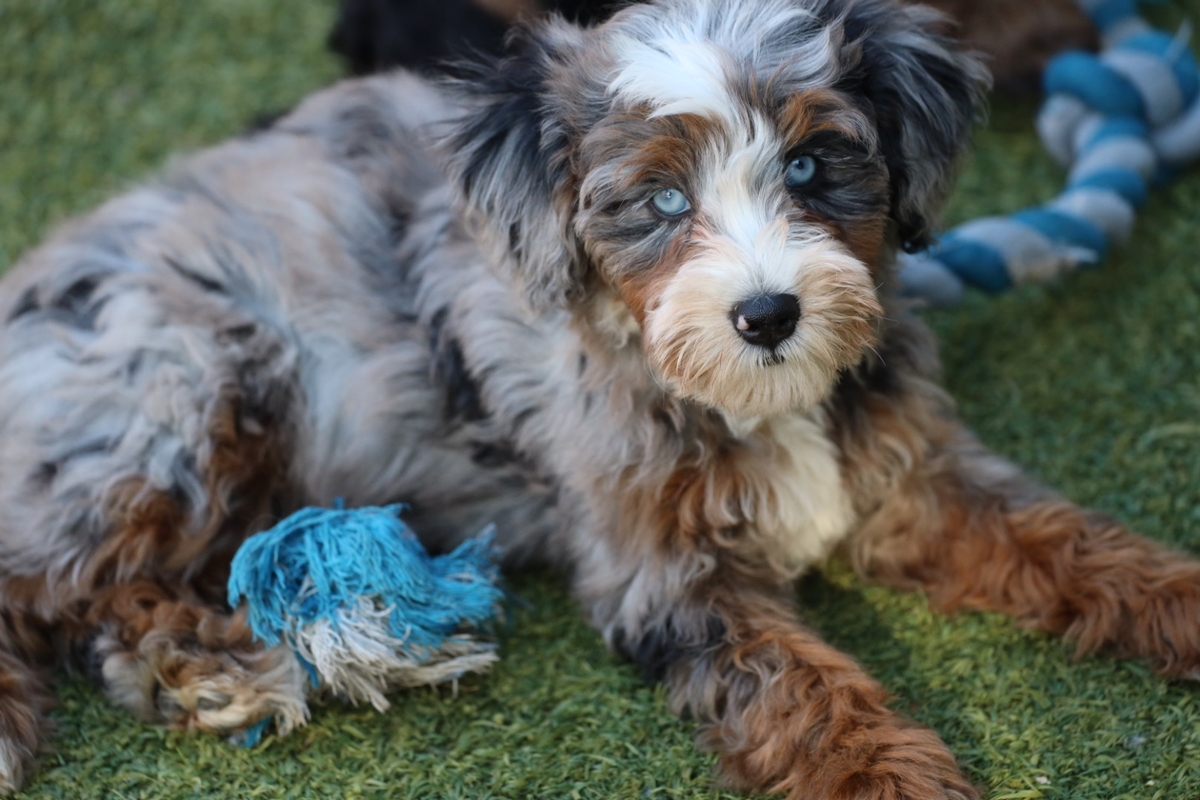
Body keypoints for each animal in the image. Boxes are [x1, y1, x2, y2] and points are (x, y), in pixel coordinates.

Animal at [1, 0, 1197, 797]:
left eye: (812, 167)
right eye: (659, 201)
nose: (769, 313)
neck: (752, 398)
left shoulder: (915, 476)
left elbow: (1066, 537)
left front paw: (1179, 602)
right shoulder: (661, 572)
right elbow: (797, 686)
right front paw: (894, 776)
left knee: (105, 589)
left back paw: (207, 668)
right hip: (183, 398)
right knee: (40, 575)